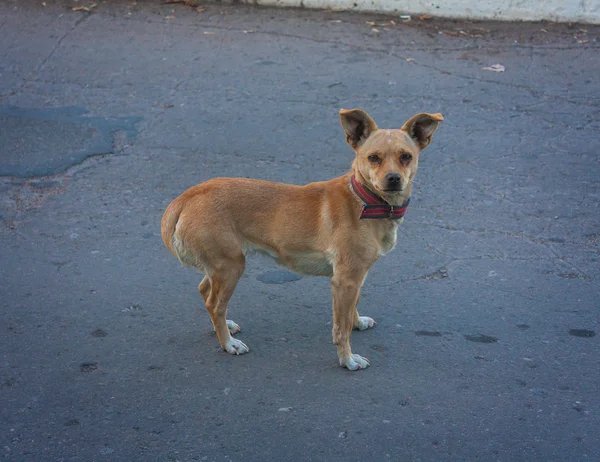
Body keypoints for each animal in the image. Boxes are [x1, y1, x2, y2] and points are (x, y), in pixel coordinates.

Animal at [159, 109, 440, 372]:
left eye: (406, 157)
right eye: (374, 158)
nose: (393, 179)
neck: (364, 200)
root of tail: (188, 196)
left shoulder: (355, 278)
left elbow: (353, 308)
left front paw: (357, 321)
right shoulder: (344, 281)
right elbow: (341, 329)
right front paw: (347, 359)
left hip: (221, 265)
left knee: (205, 292)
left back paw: (224, 327)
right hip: (231, 267)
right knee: (215, 304)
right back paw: (227, 343)